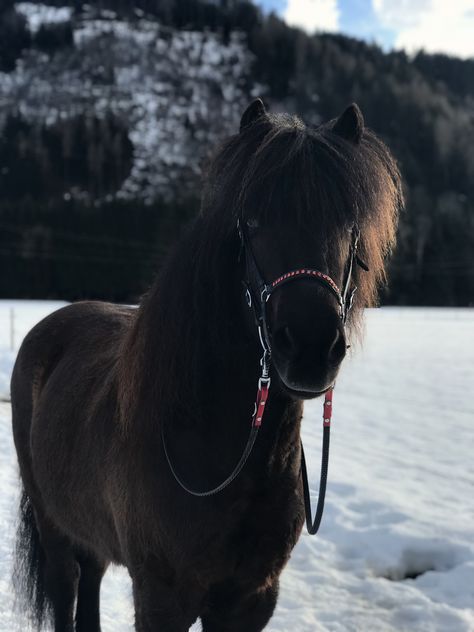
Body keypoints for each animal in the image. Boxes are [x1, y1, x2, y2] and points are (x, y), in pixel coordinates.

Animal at [11, 101, 402, 628]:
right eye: (251, 221)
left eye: (350, 224)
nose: (310, 349)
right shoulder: (162, 597)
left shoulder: (252, 597)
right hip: (53, 528)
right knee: (66, 585)